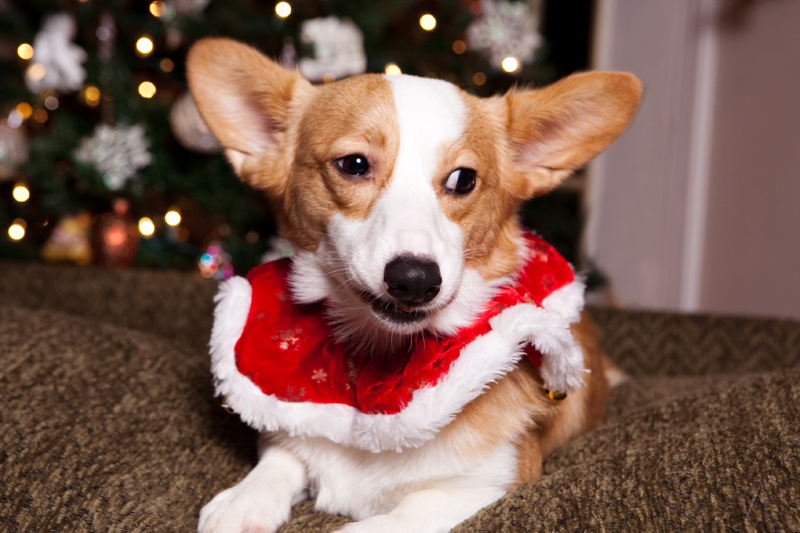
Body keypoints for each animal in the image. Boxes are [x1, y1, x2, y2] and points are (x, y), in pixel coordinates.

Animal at [188, 38, 644, 532]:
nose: (414, 280)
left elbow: (377, 523)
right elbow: (281, 457)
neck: (377, 355)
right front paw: (243, 503)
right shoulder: (288, 424)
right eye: (353, 165)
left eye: (464, 179)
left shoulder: (482, 487)